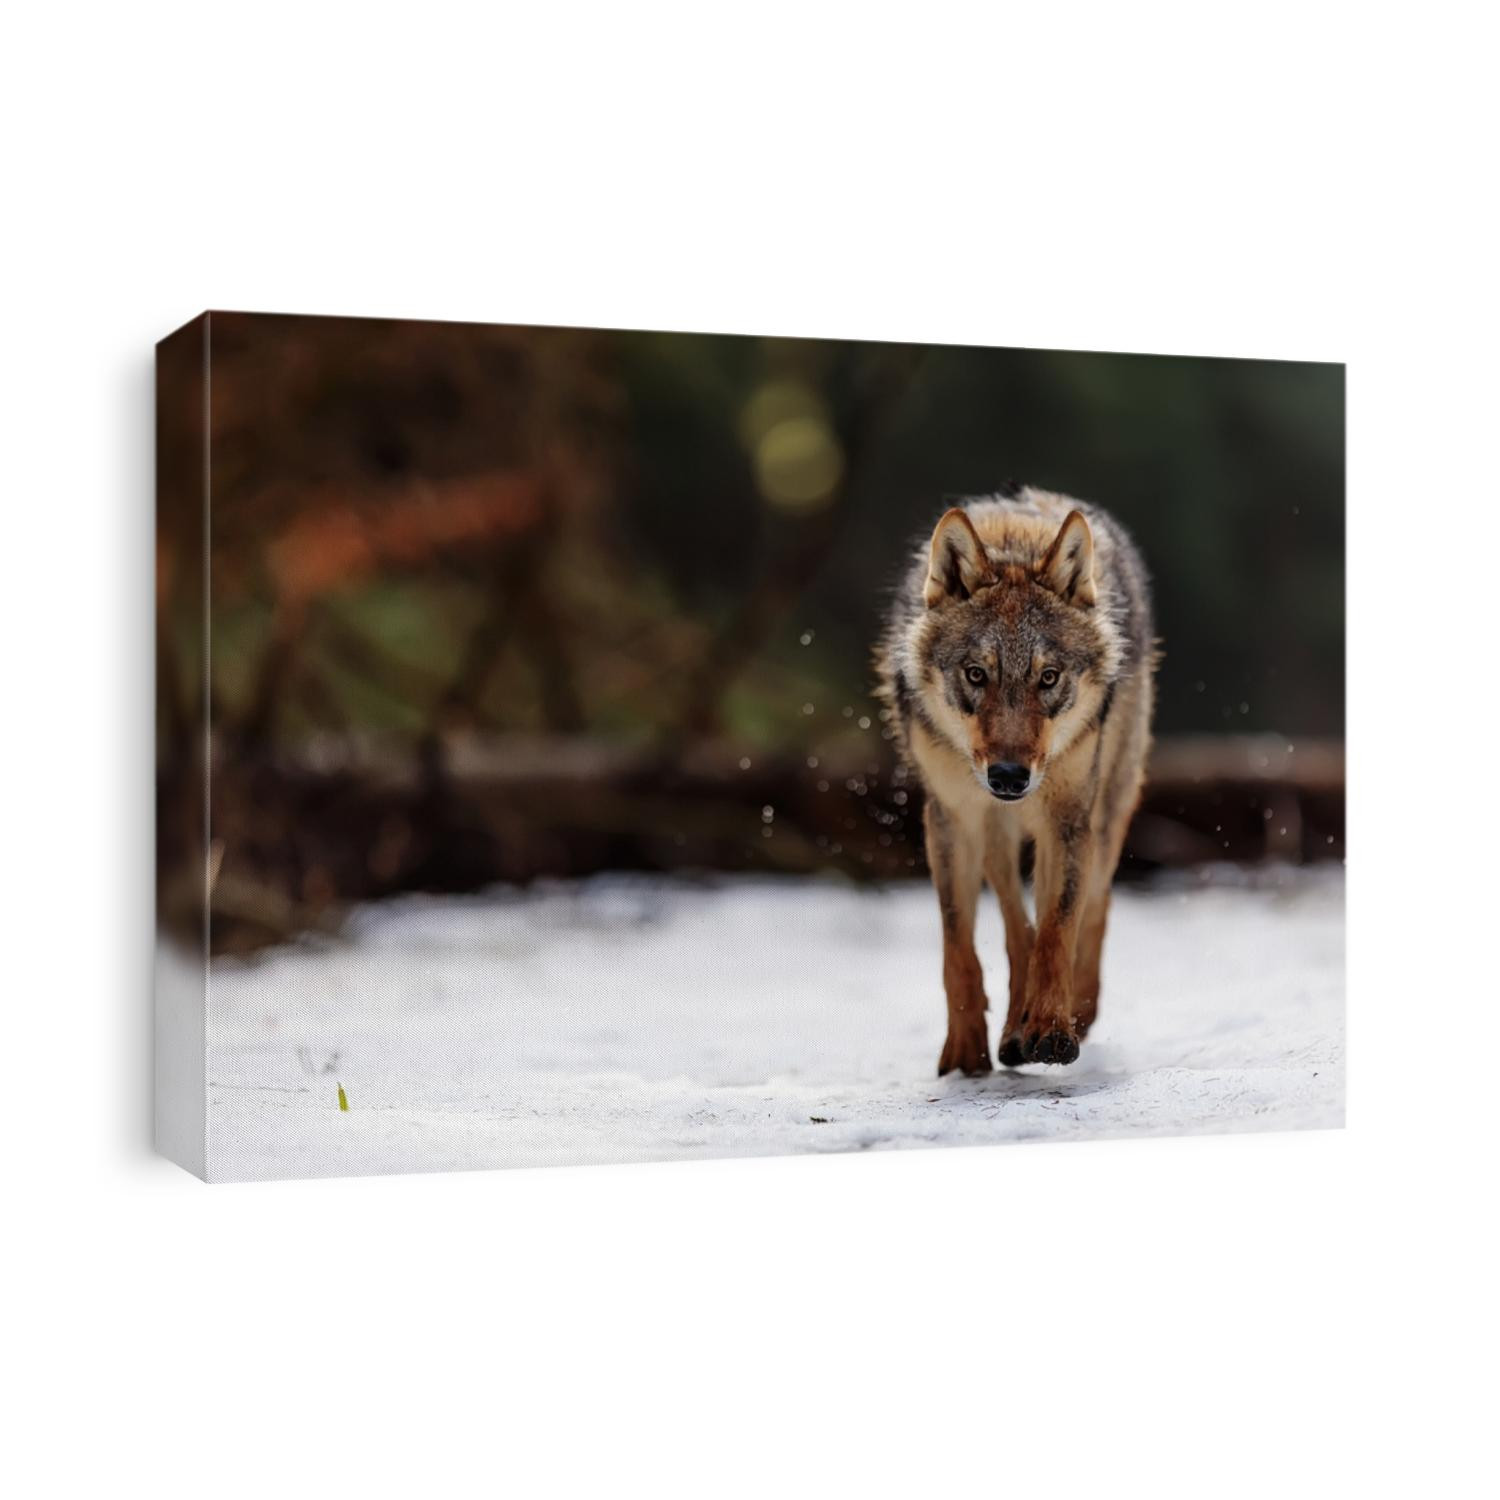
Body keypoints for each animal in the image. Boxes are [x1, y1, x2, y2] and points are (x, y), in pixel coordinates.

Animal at [875, 484, 1155, 1075]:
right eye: (976, 674)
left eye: (1047, 678)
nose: (1008, 777)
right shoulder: (952, 819)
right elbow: (961, 944)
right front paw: (966, 1050)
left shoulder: (1066, 818)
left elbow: (1057, 928)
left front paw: (1051, 1028)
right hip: (993, 832)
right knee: (1011, 917)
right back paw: (1010, 1031)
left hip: (1107, 809)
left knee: (1095, 904)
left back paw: (1075, 1010)